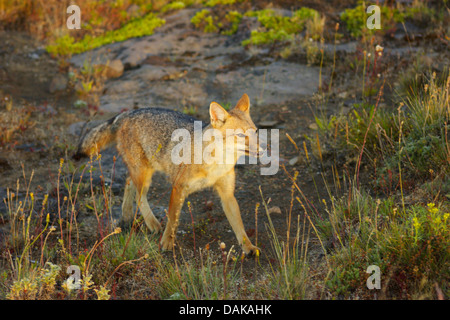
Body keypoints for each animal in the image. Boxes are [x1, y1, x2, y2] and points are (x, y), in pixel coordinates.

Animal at [74, 92, 264, 255]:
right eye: (240, 135)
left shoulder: (227, 194)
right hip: (144, 174)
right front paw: (166, 242)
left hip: (144, 170)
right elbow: (173, 219)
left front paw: (248, 247)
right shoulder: (179, 187)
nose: (262, 150)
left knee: (129, 183)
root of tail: (128, 113)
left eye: (255, 131)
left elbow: (239, 225)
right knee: (139, 196)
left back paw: (127, 216)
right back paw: (152, 223)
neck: (215, 163)